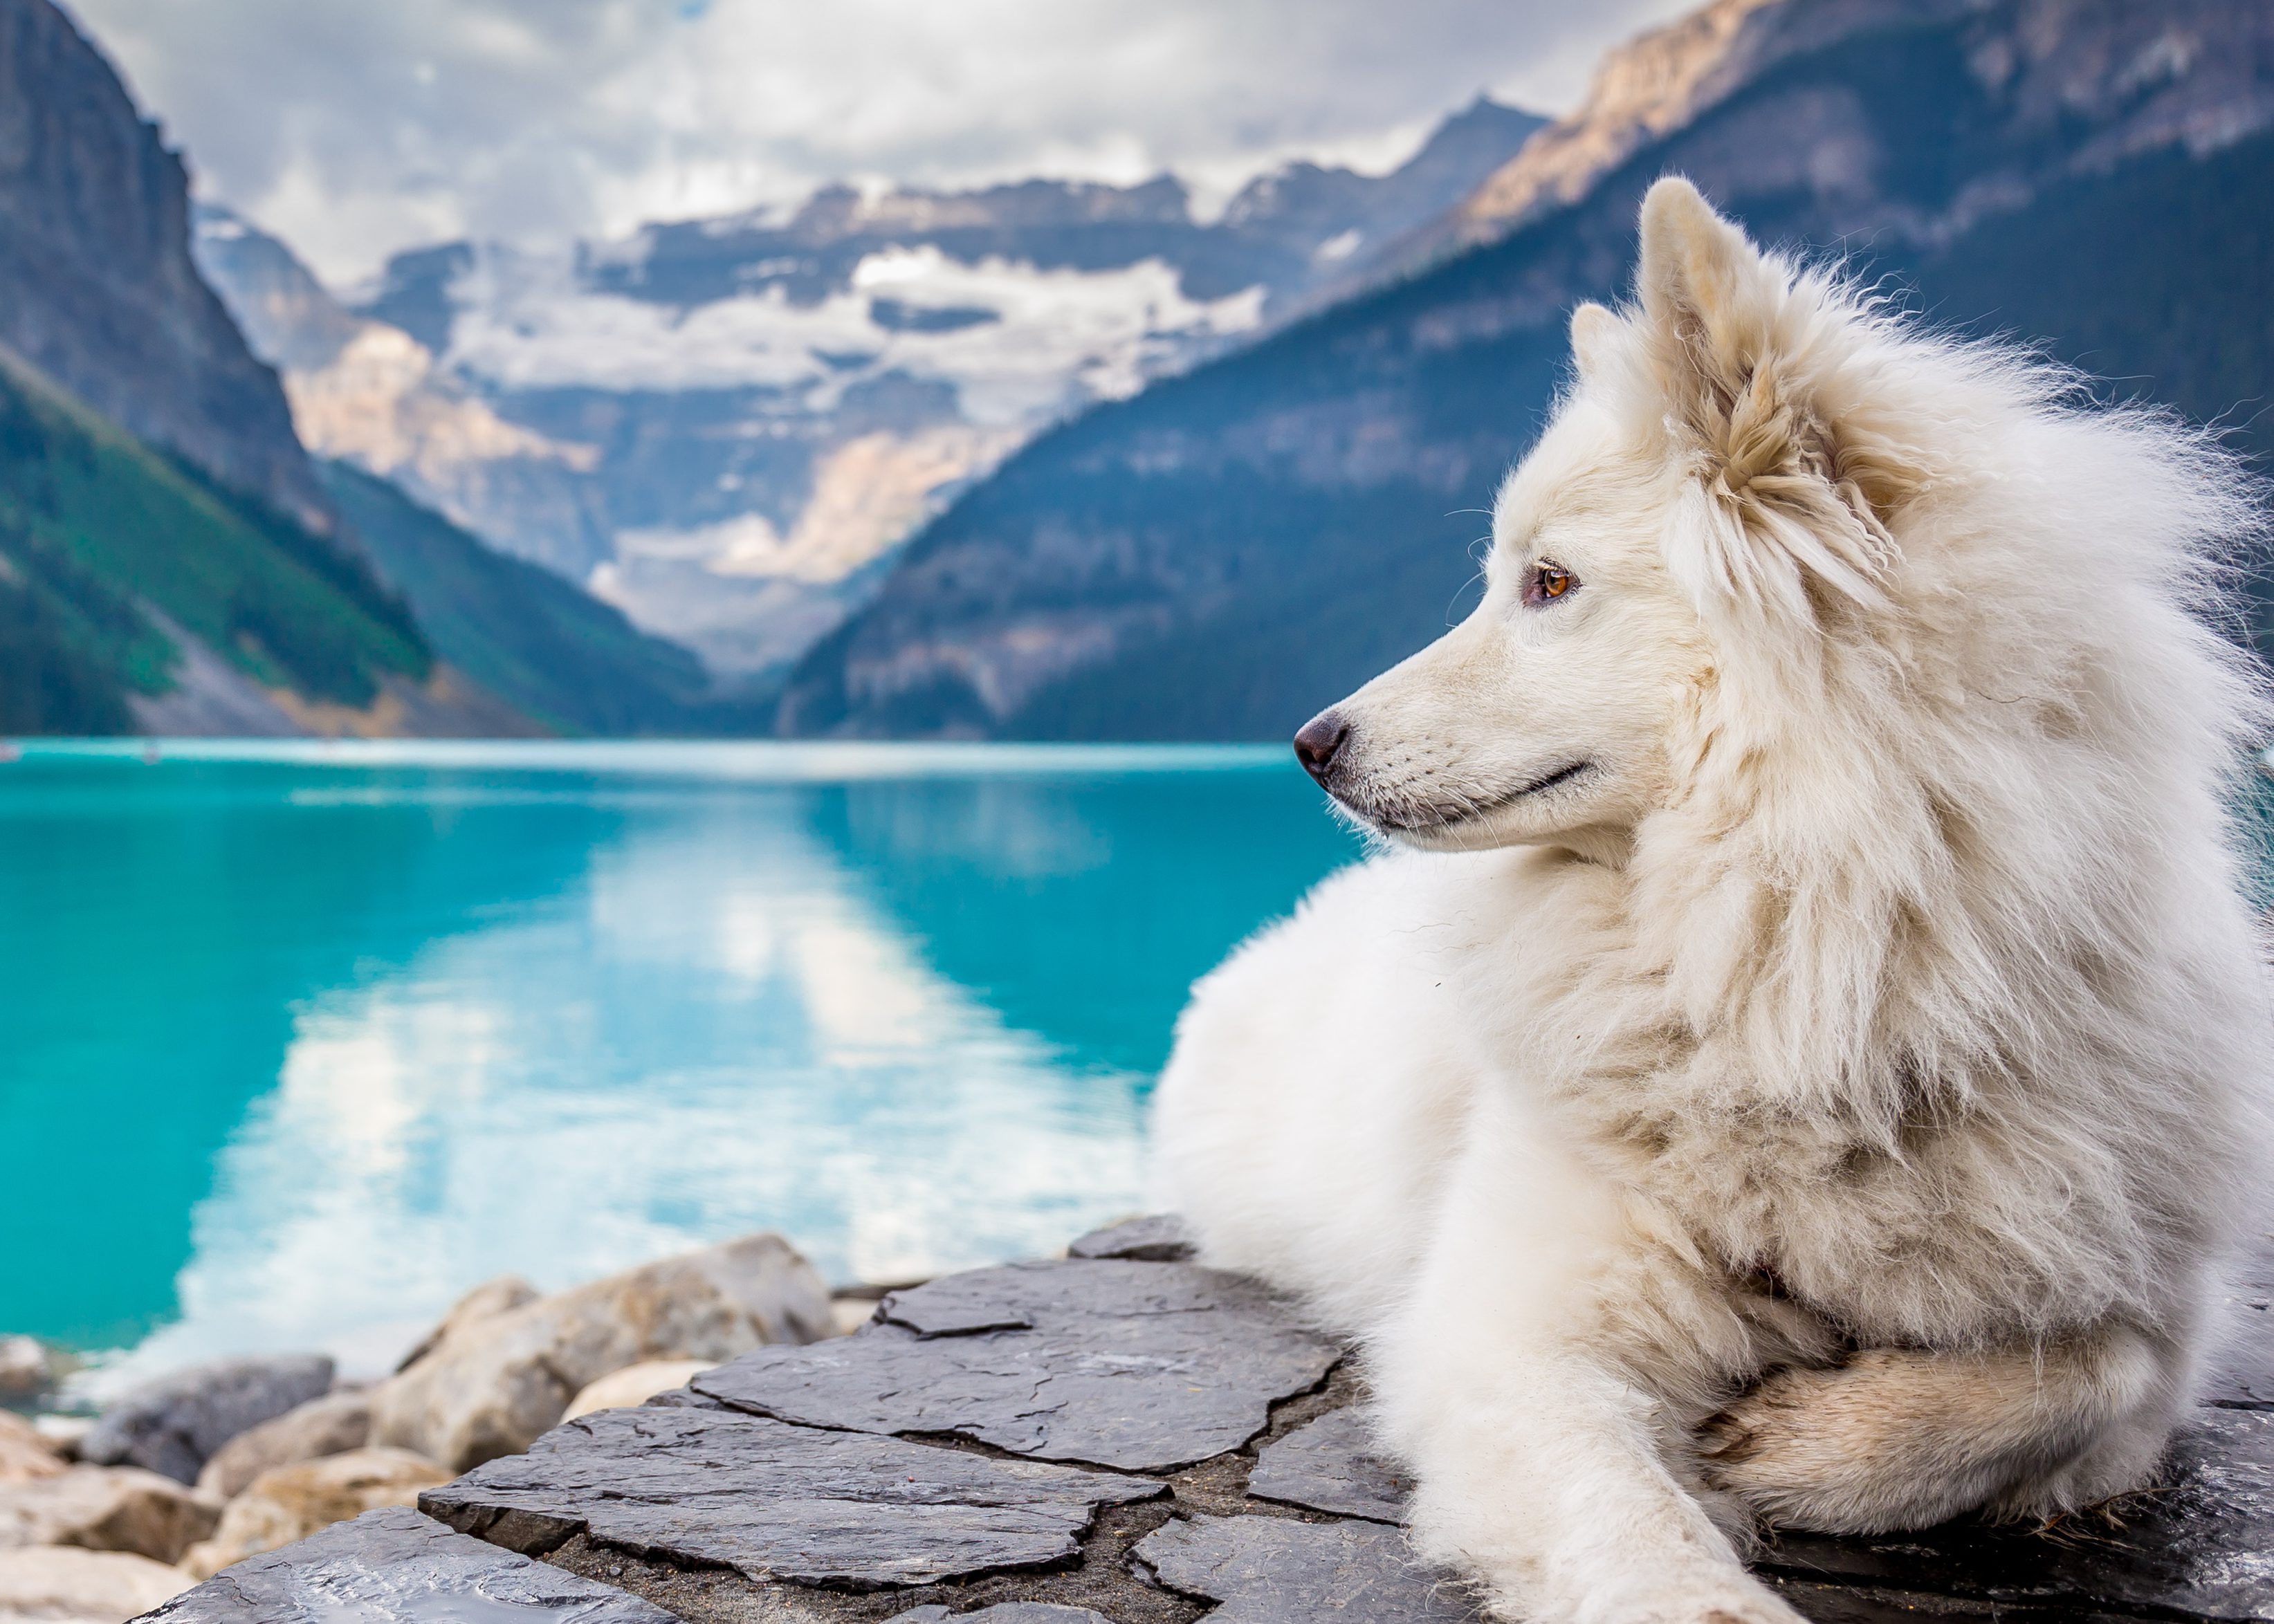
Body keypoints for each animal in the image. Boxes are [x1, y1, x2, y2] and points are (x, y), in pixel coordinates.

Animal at [1152, 177, 2271, 1624]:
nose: (1308, 742)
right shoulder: (1514, 1338)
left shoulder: (2152, 1296)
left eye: (1548, 583)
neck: (1812, 961)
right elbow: (1645, 1546)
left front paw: (1807, 1443)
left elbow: (2085, 1368)